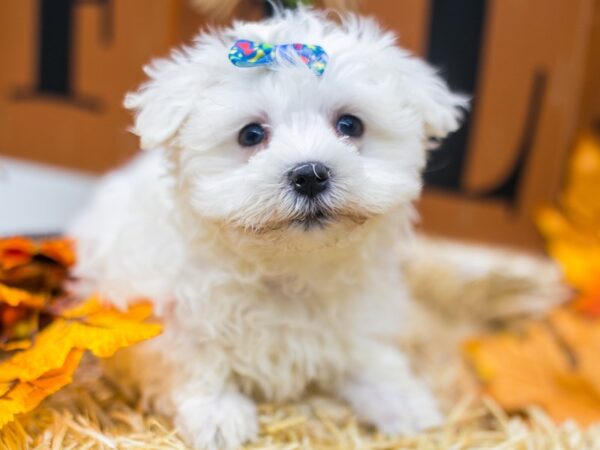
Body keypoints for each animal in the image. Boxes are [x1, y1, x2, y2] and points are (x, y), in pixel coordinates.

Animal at [68, 7, 466, 450]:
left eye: (350, 125)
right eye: (251, 134)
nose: (310, 174)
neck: (285, 266)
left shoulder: (360, 317)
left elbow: (370, 355)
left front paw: (404, 402)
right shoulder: (161, 317)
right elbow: (193, 361)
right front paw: (217, 414)